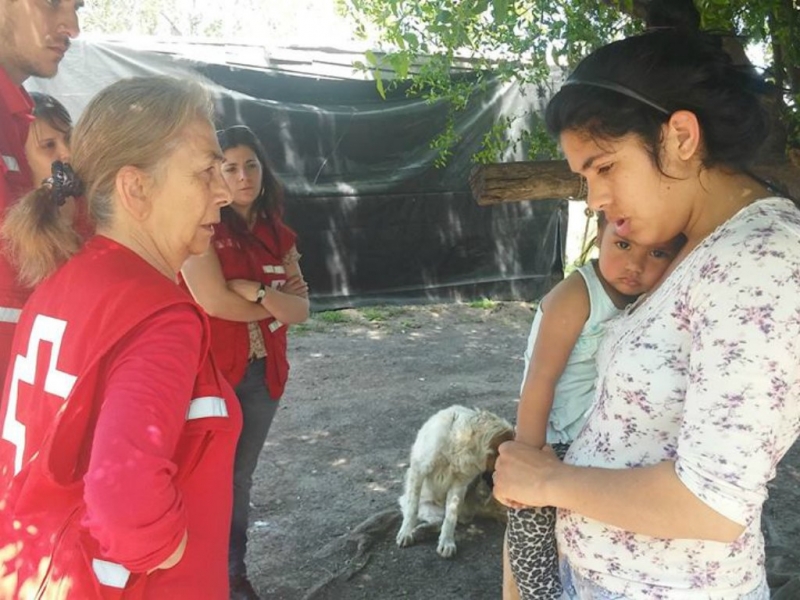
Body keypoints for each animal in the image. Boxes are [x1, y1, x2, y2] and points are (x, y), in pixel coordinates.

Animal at [394, 404, 512, 556]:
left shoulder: (459, 484)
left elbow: (451, 517)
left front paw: (447, 542)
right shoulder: (419, 470)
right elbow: (412, 508)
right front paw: (405, 533)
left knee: (444, 521)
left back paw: (422, 530)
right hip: (425, 506)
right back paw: (418, 530)